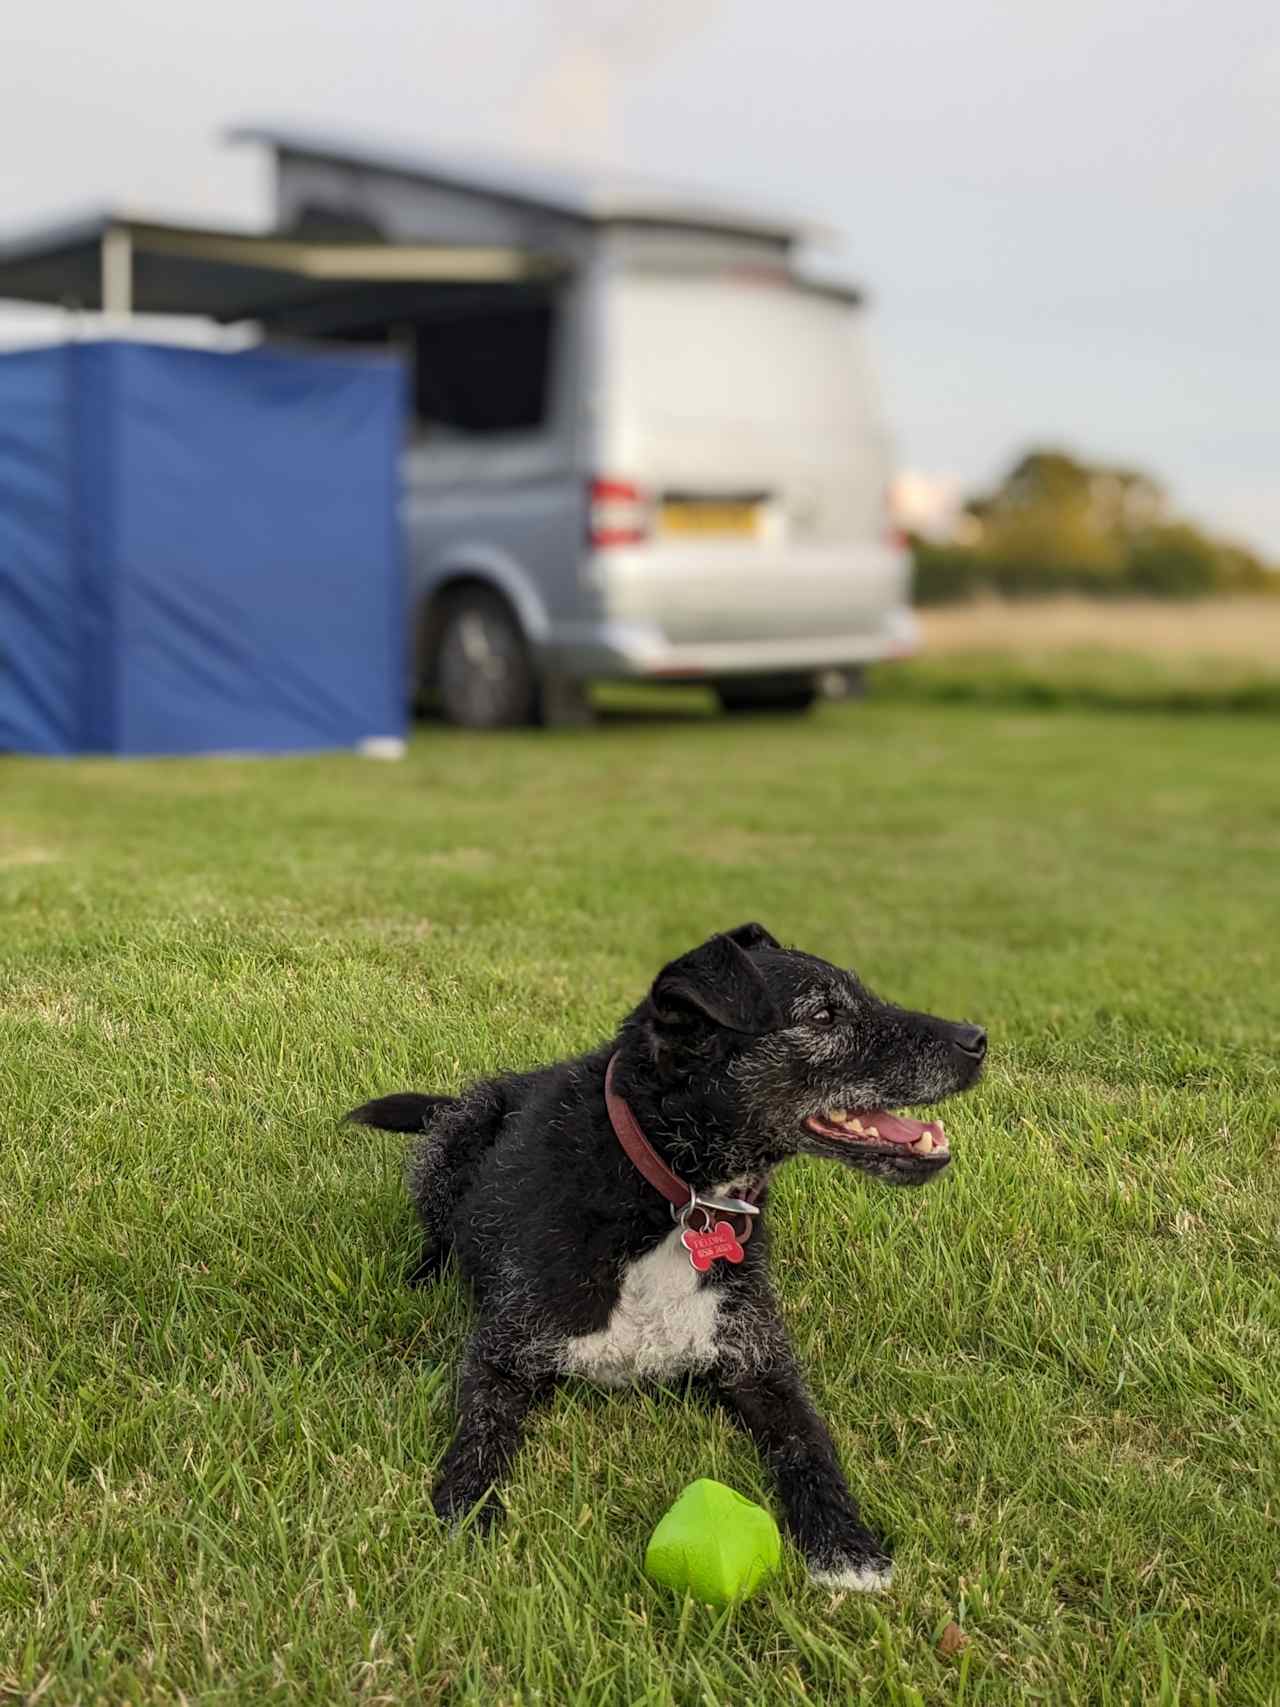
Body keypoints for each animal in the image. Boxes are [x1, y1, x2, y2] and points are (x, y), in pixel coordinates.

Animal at [353, 921, 989, 1584]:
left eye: (861, 995)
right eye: (823, 1014)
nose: (978, 1039)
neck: (673, 1195)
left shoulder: (762, 1366)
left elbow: (808, 1441)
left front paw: (846, 1545)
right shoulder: (503, 1353)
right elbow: (480, 1434)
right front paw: (464, 1516)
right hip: (459, 1132)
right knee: (439, 1229)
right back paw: (424, 1272)